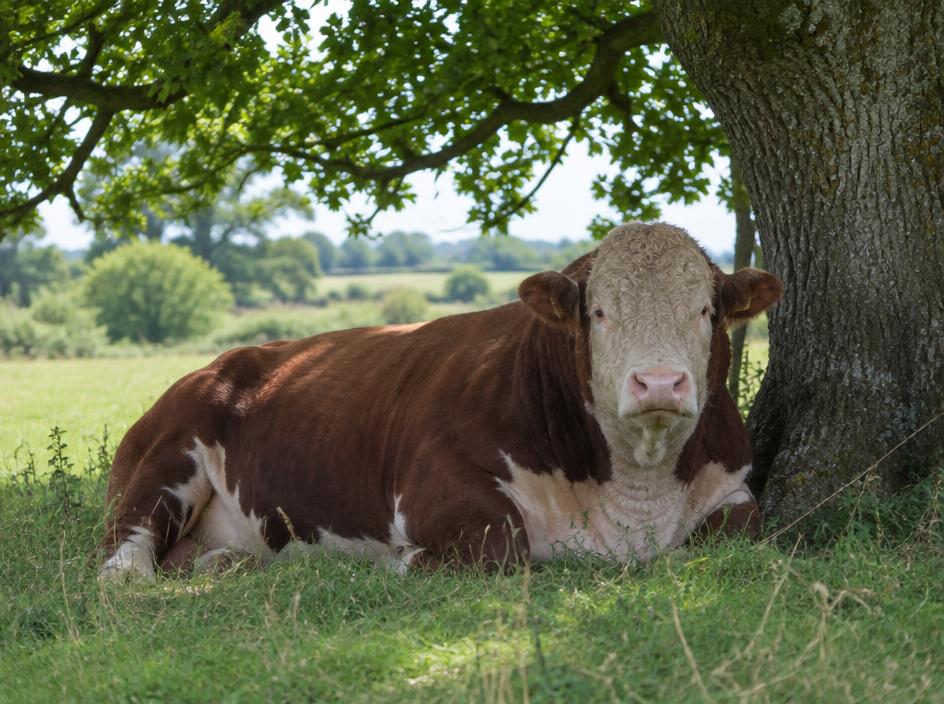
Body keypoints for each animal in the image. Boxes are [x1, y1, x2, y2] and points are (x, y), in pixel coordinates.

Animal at [99, 222, 783, 580]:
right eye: (599, 313)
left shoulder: (734, 484)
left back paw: (226, 566)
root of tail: (222, 364)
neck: (632, 491)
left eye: (705, 310)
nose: (660, 383)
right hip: (165, 459)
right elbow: (500, 547)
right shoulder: (433, 483)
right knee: (124, 548)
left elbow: (746, 528)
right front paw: (394, 562)